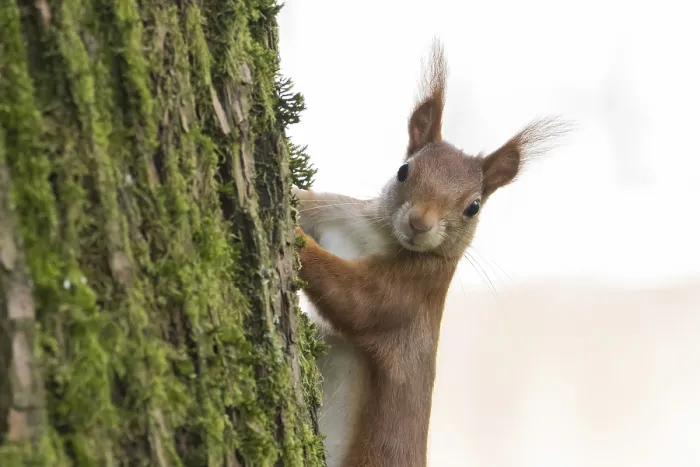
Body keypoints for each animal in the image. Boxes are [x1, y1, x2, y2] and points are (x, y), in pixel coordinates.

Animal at [293, 39, 568, 467]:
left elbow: (356, 301)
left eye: (473, 206)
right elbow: (307, 205)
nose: (420, 223)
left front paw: (296, 239)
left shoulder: (411, 292)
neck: (378, 235)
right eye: (404, 171)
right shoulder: (338, 212)